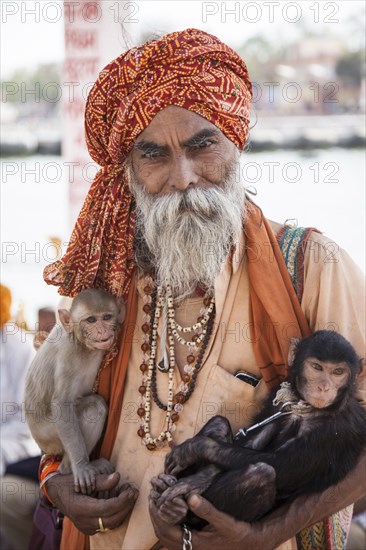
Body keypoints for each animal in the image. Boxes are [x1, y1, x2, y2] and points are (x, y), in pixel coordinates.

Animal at [25, 288, 126, 496]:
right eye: (91, 320)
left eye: (106, 317)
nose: (102, 330)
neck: (82, 345)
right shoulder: (68, 357)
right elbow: (61, 405)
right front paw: (81, 467)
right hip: (51, 437)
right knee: (95, 407)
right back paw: (73, 468)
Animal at [152, 332, 366, 532]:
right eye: (317, 367)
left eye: (338, 372)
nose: (324, 387)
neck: (308, 409)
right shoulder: (277, 402)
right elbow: (256, 440)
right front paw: (199, 477)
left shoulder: (341, 429)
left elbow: (284, 465)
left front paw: (194, 450)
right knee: (220, 423)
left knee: (261, 474)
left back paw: (177, 513)